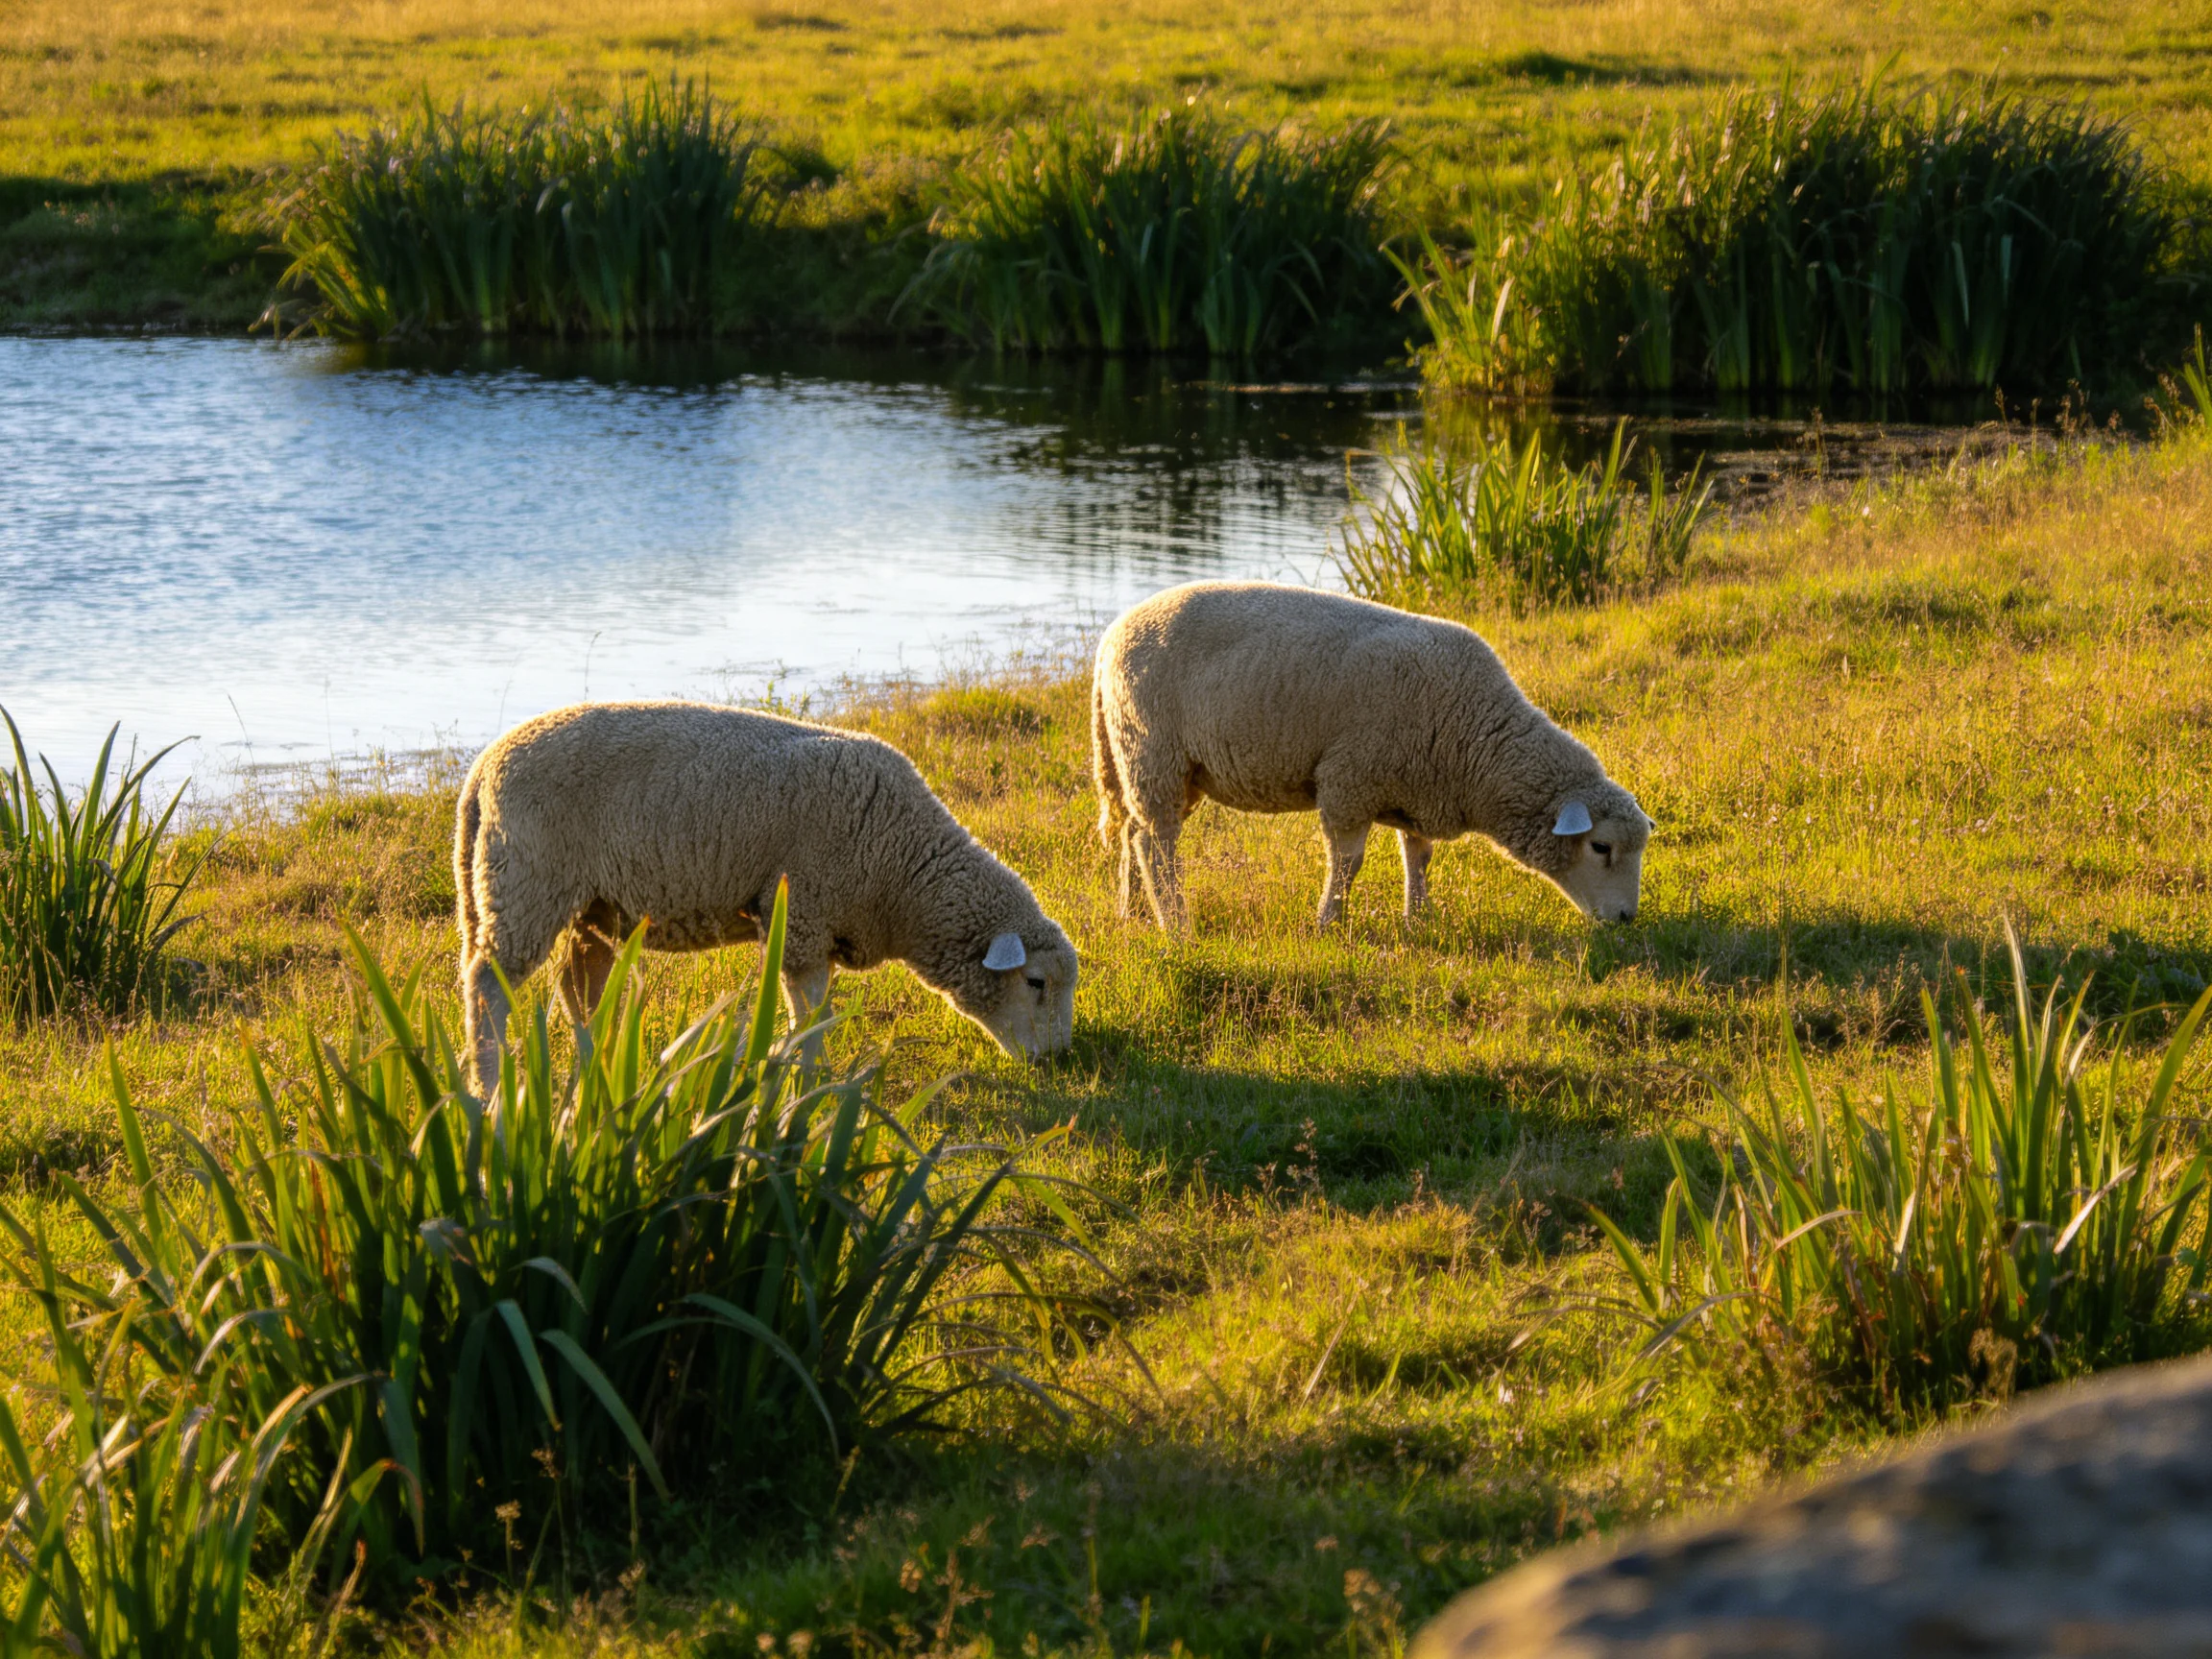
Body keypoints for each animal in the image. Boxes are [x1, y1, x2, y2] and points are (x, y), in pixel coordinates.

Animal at [455, 701, 1077, 1088]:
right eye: (1036, 982)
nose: (1058, 1060)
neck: (904, 875)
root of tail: (481, 772)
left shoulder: (815, 922)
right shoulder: (803, 913)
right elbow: (811, 1009)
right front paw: (809, 1075)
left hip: (583, 905)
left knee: (576, 987)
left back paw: (599, 1066)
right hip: (527, 885)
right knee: (488, 984)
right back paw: (489, 1084)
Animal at [1091, 581, 1651, 931]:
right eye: (1601, 847)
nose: (1626, 920)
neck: (1476, 741)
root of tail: (1111, 638)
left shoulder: (1419, 790)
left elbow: (1419, 857)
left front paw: (1419, 919)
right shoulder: (1349, 782)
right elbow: (1348, 863)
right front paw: (1329, 922)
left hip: (1155, 763)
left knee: (1132, 831)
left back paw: (1133, 912)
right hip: (1153, 751)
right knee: (1155, 844)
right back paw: (1176, 925)